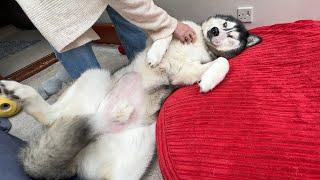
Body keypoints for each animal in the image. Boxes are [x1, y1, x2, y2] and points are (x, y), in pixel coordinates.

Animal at [0, 14, 260, 179]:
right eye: (223, 24)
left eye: (231, 36)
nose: (214, 31)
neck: (202, 44)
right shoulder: (161, 39)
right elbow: (164, 33)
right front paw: (156, 54)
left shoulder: (185, 73)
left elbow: (223, 60)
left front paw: (210, 79)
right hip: (94, 76)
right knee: (51, 114)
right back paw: (19, 91)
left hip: (135, 153)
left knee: (57, 119)